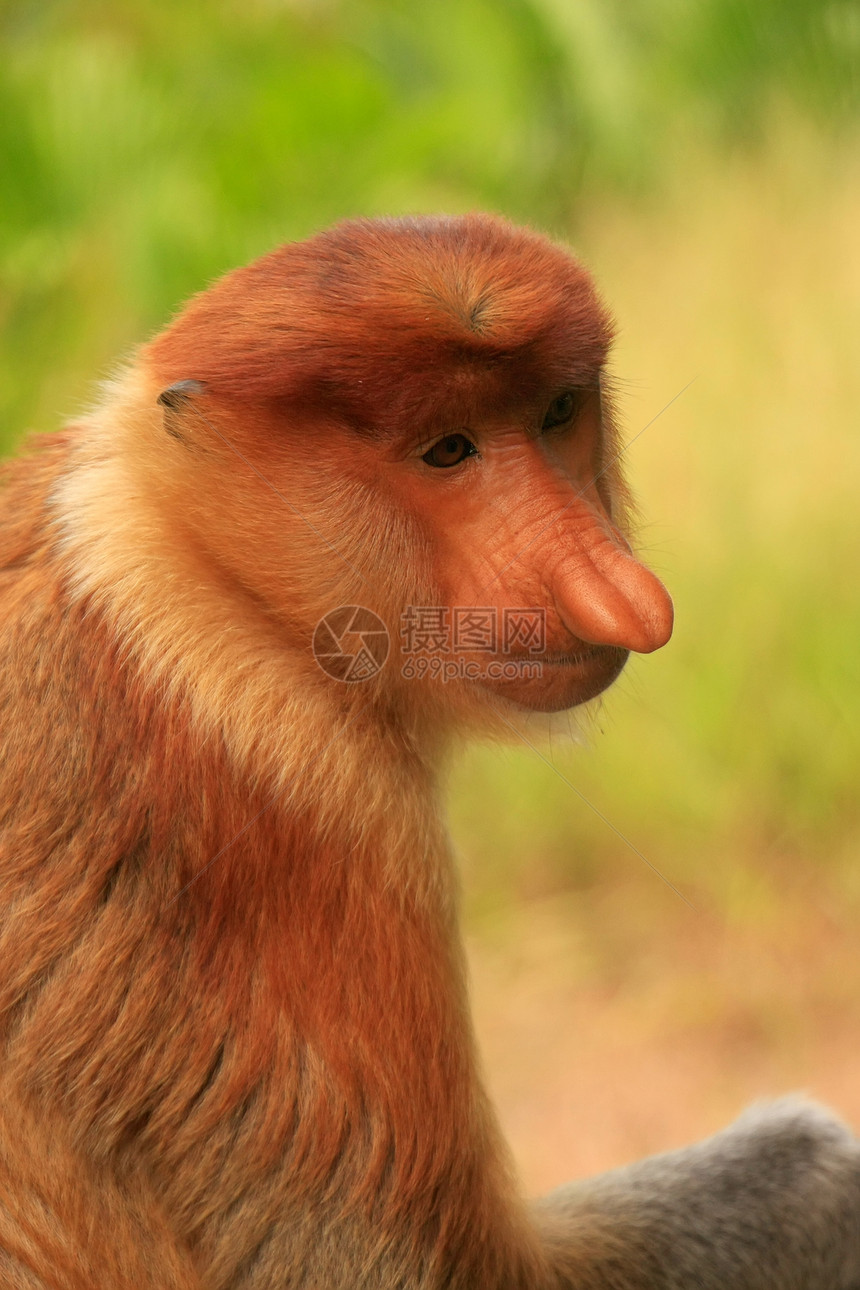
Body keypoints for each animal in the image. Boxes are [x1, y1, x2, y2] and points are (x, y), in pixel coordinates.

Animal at [1, 211, 860, 1290]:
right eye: (447, 450)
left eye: (555, 413)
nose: (621, 592)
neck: (196, 561)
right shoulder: (310, 800)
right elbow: (394, 1265)